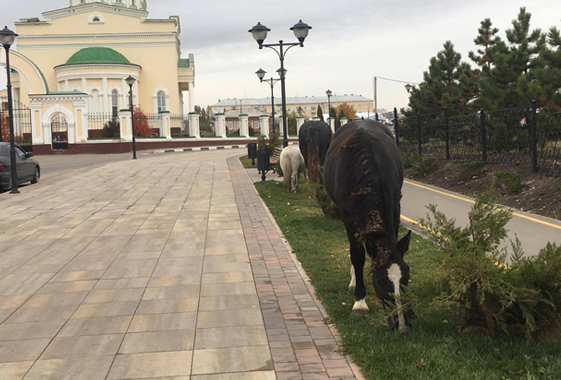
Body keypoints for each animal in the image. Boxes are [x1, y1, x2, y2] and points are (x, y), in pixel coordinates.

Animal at [324, 119, 412, 332]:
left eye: (406, 276)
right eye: (380, 281)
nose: (401, 323)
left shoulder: (395, 204)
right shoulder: (347, 215)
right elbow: (357, 255)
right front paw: (360, 302)